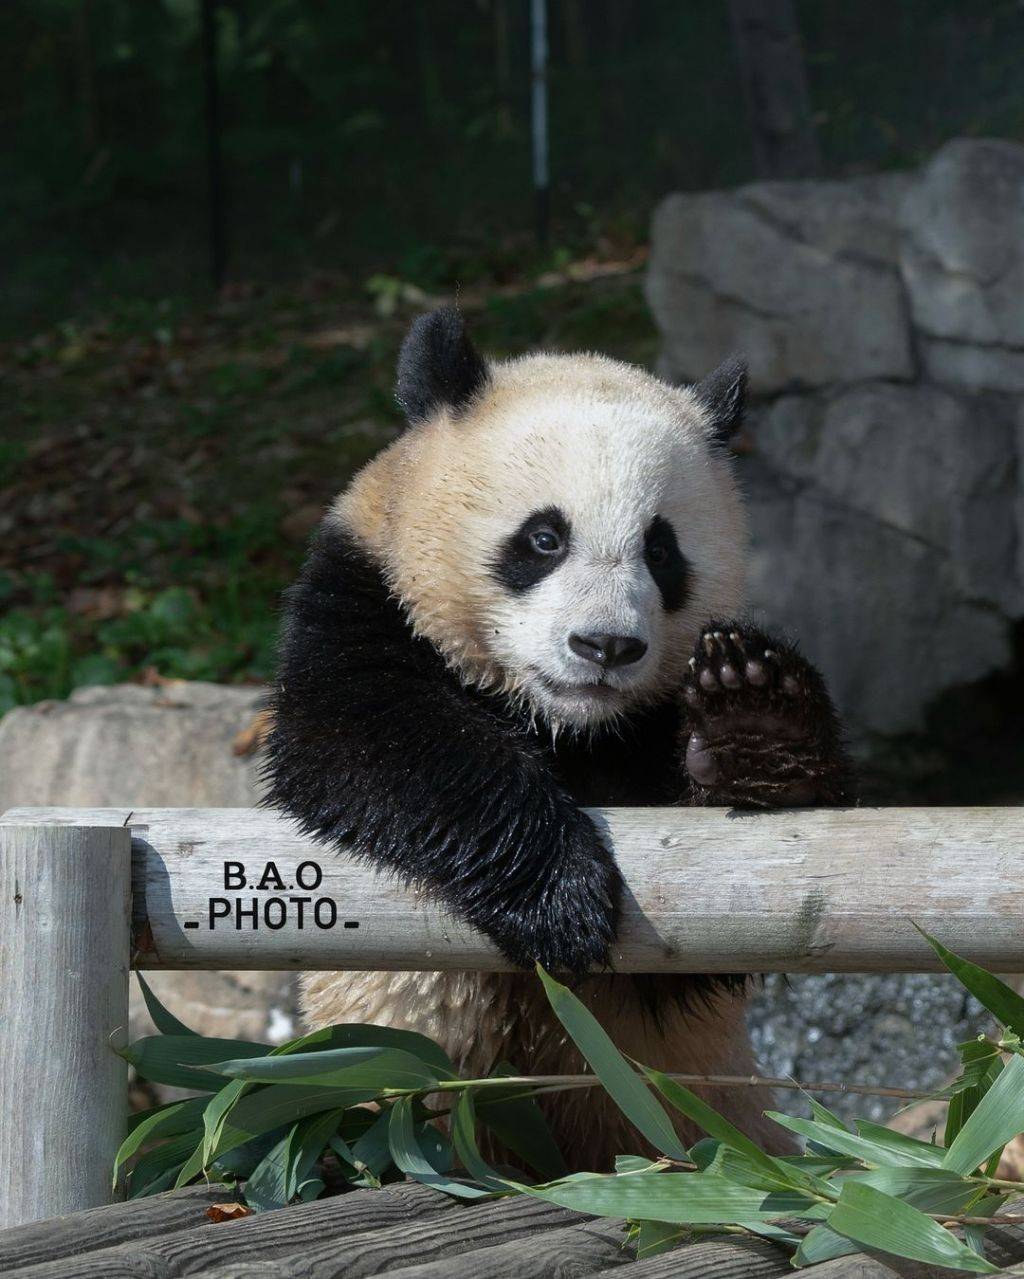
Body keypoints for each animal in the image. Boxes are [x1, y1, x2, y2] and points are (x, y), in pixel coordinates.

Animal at [262, 304, 848, 1166]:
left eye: (662, 548)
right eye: (544, 538)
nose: (605, 645)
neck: (565, 724)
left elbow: (704, 934)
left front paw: (757, 722)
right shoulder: (362, 600)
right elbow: (373, 746)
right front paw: (560, 900)